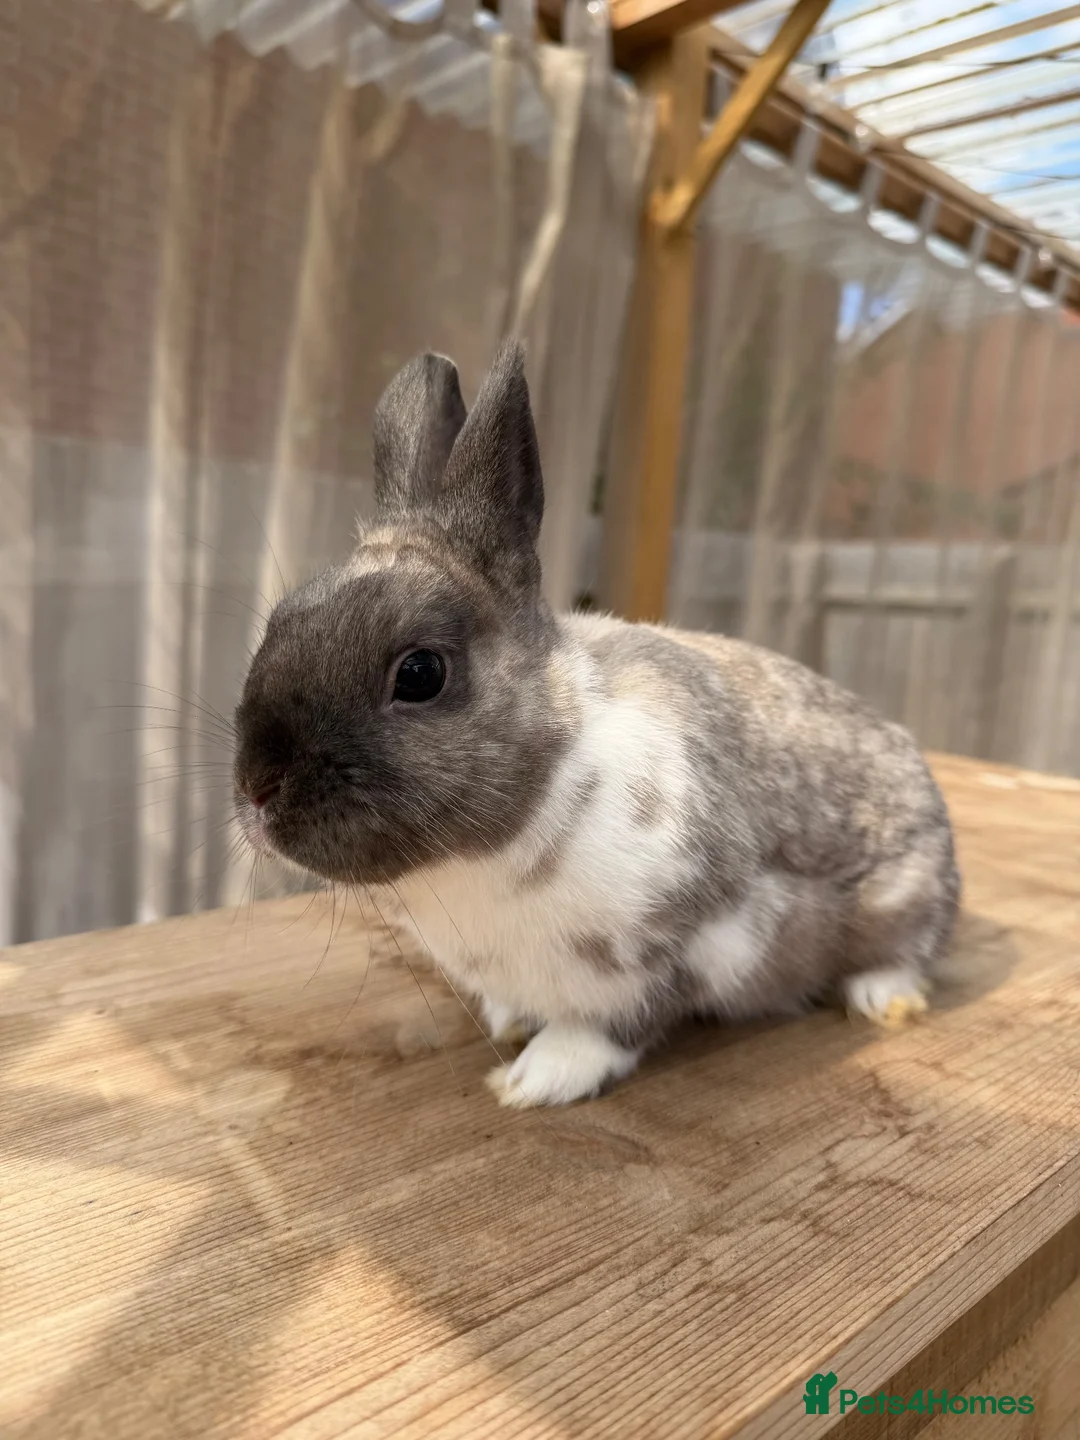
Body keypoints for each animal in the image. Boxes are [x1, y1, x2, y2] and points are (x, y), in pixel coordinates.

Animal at [234, 342, 961, 1108]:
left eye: (420, 673)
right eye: (280, 619)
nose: (257, 790)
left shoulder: (686, 945)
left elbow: (612, 1030)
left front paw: (534, 1080)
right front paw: (512, 1028)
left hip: (906, 894)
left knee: (906, 952)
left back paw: (884, 1001)